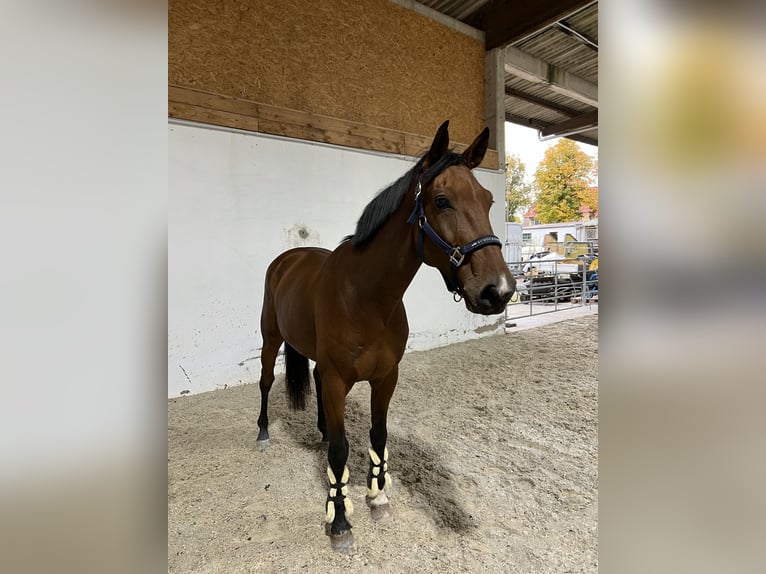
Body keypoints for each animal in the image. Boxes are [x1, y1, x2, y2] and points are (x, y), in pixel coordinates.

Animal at [255, 120, 515, 552]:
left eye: (488, 200)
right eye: (442, 200)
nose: (499, 291)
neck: (367, 298)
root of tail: (287, 259)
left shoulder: (385, 377)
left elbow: (377, 435)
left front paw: (377, 497)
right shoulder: (339, 379)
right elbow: (342, 450)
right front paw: (340, 520)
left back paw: (321, 429)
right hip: (270, 338)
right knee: (264, 382)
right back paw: (261, 432)